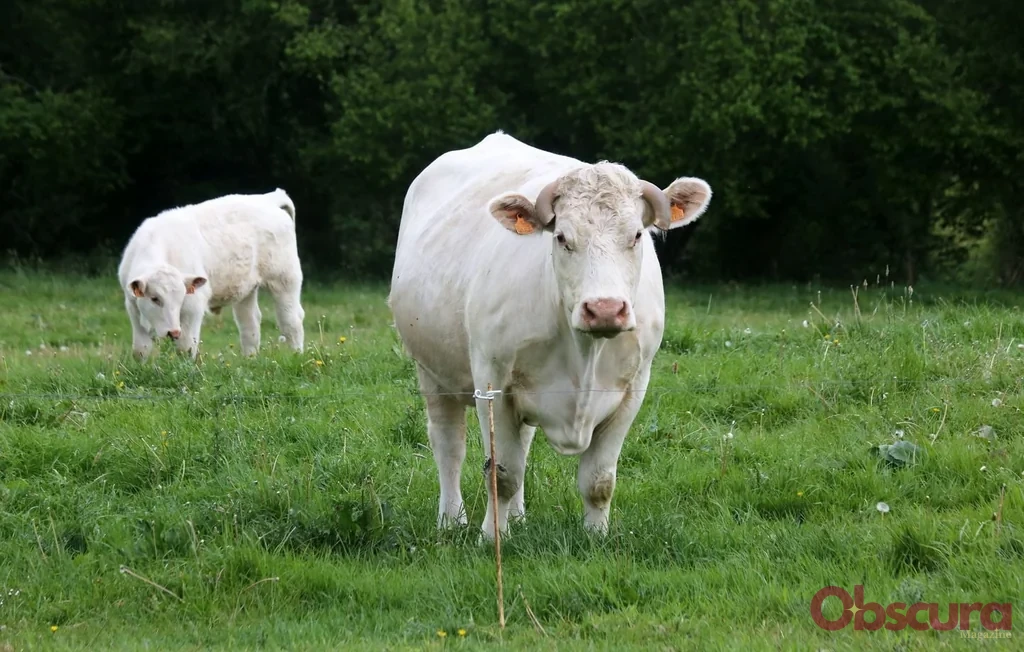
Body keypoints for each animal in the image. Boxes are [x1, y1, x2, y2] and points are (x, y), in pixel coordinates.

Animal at [117, 188, 306, 360]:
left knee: (291, 321)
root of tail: (269, 198)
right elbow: (140, 350)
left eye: (181, 298)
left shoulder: (194, 305)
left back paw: (296, 356)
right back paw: (249, 360)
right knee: (250, 323)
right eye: (154, 298)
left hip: (285, 279)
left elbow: (186, 348)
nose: (173, 332)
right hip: (247, 289)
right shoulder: (132, 306)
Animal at [388, 132, 712, 538]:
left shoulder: (633, 389)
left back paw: (518, 516)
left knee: (522, 445)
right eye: (561, 237)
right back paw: (451, 519)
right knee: (448, 444)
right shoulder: (492, 383)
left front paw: (595, 536)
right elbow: (502, 475)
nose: (605, 308)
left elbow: (599, 479)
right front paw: (492, 536)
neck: (584, 352)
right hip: (431, 371)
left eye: (637, 235)